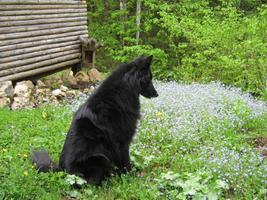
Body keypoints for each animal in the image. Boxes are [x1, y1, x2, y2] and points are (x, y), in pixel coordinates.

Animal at [33, 54, 159, 184]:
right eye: (149, 78)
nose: (157, 94)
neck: (124, 89)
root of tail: (62, 170)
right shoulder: (122, 142)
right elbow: (125, 162)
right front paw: (131, 177)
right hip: (100, 158)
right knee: (91, 183)